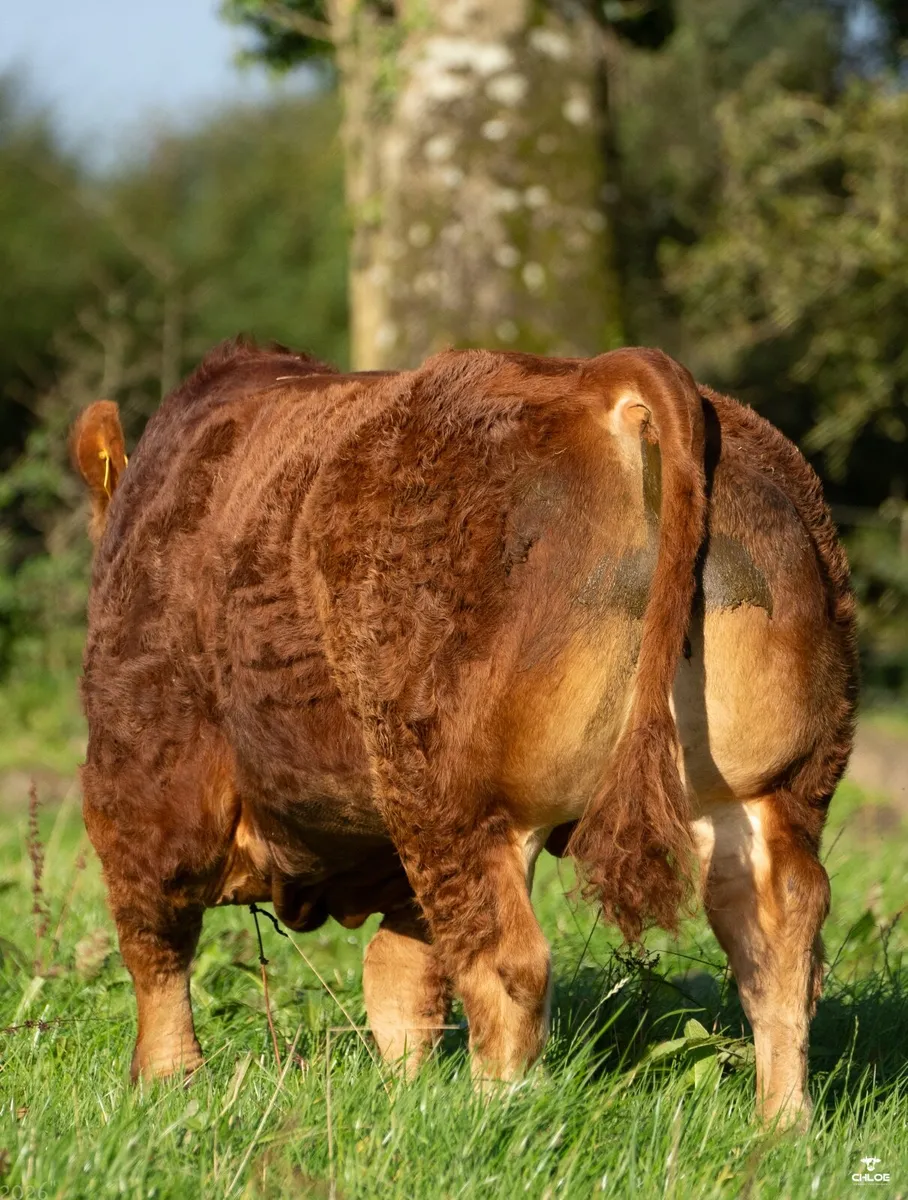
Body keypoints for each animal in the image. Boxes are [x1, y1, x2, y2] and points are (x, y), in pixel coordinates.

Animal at [71, 338, 856, 1126]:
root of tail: (606, 378)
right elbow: (402, 978)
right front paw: (404, 1095)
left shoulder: (144, 774)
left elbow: (155, 947)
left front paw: (166, 1088)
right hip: (773, 787)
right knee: (780, 936)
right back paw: (783, 1126)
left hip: (460, 795)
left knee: (509, 964)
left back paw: (489, 1117)